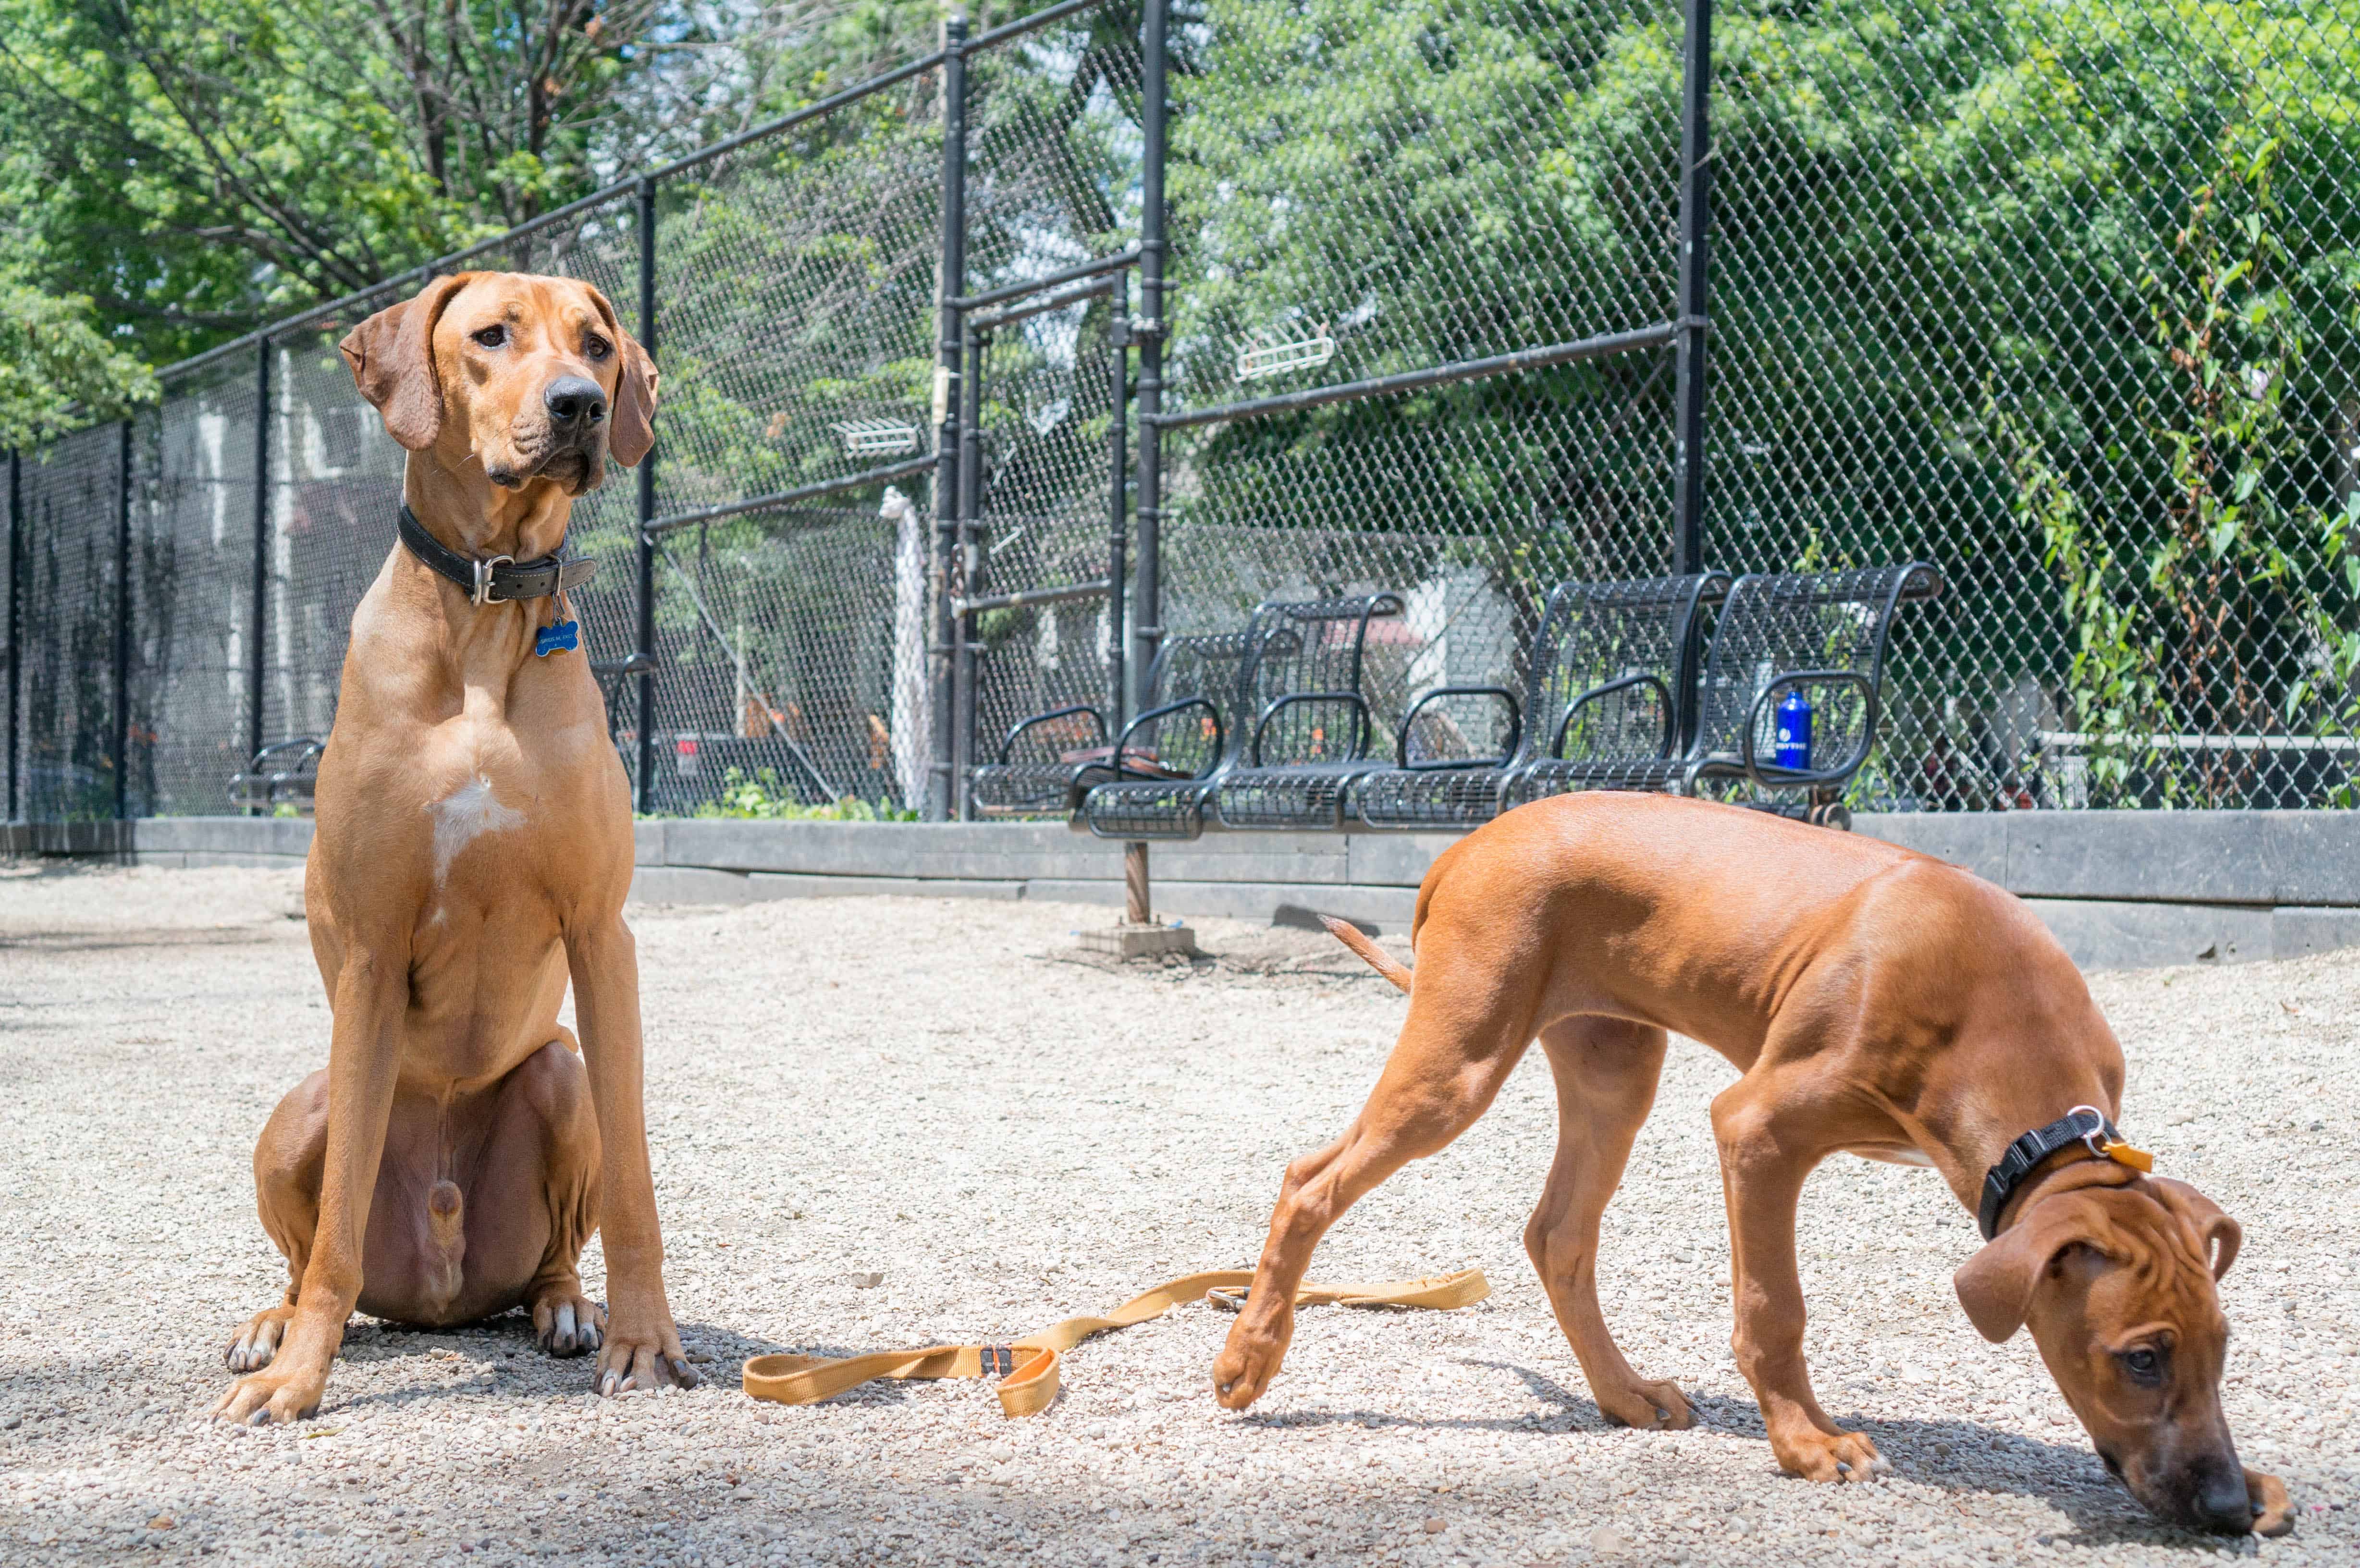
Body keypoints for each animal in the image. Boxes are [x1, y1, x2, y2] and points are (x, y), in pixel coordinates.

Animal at [216, 275, 694, 1426]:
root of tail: (439, 1300)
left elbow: (637, 1190)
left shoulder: (601, 936)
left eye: (598, 345)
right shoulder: (370, 949)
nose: (579, 406)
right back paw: (273, 1326)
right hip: (301, 1109)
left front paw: (645, 1340)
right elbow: (339, 1216)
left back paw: (567, 1309)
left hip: (559, 1075)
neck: (481, 609)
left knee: (555, 1244)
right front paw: (302, 1375)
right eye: (491, 335)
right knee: (305, 1253)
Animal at [1227, 798, 2294, 1530]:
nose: (2226, 1508)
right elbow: (1775, 1309)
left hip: (1615, 1067)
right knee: (1310, 1180)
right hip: (1460, 1062)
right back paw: (1247, 1355)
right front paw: (1805, 1442)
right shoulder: (1757, 1130)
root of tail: (1471, 841)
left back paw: (1622, 1396)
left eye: (2220, 1348)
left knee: (1557, 1234)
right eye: (2140, 1357)